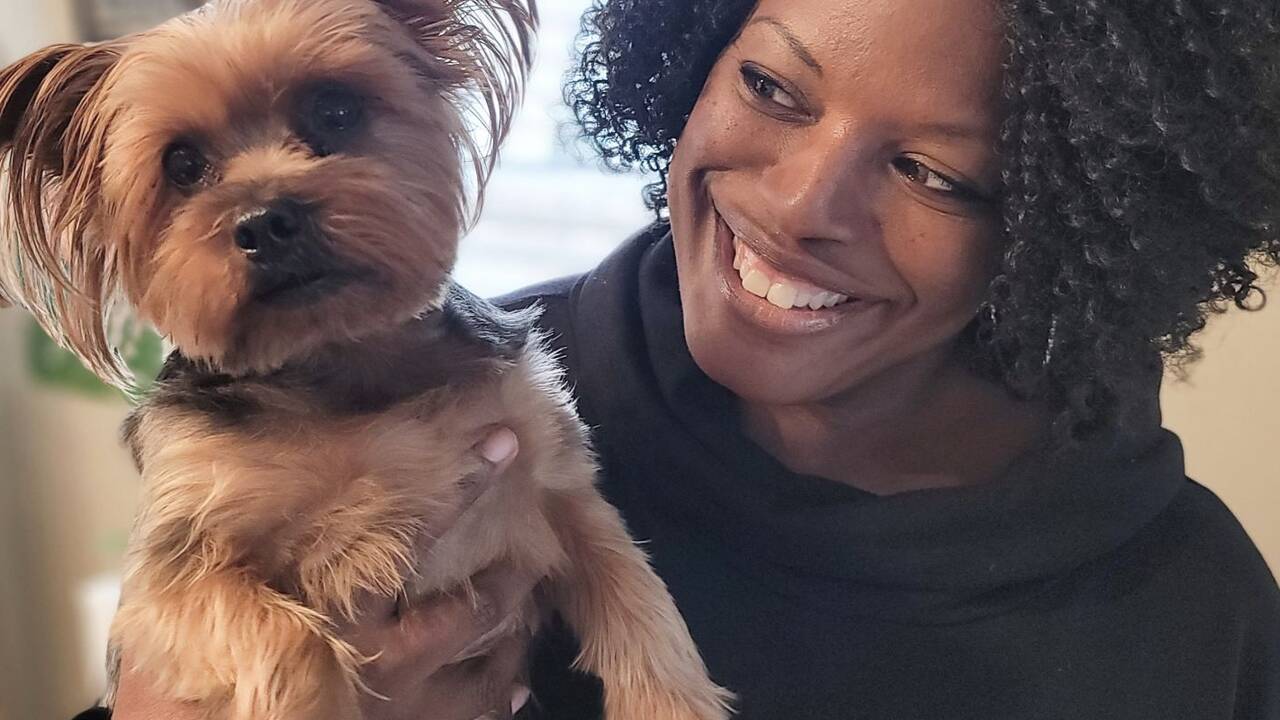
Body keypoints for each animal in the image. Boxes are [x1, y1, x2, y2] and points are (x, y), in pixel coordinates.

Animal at [0, 1, 733, 718]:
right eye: (181, 164)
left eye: (335, 110)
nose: (265, 220)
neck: (342, 360)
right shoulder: (168, 577)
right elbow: (288, 638)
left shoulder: (553, 478)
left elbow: (635, 598)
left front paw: (668, 699)